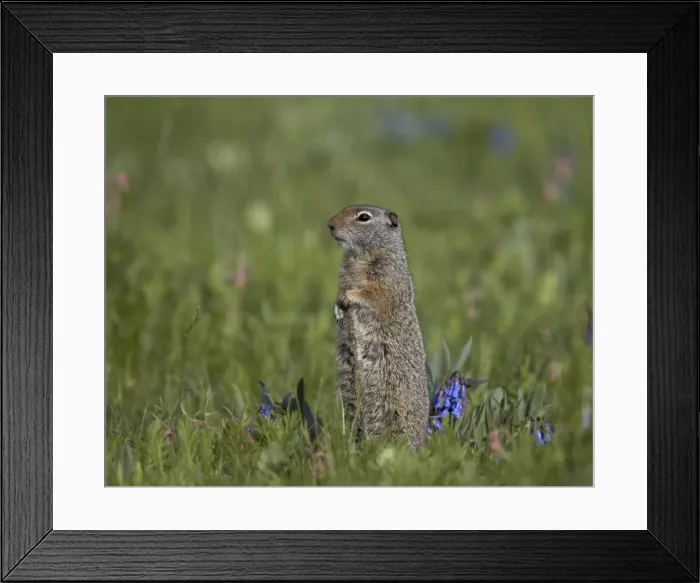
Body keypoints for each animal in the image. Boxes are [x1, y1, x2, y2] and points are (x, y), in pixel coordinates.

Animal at [327, 204, 429, 451]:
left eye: (364, 217)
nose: (330, 224)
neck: (359, 257)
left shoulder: (387, 276)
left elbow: (373, 294)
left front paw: (348, 297)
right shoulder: (344, 274)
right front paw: (337, 309)